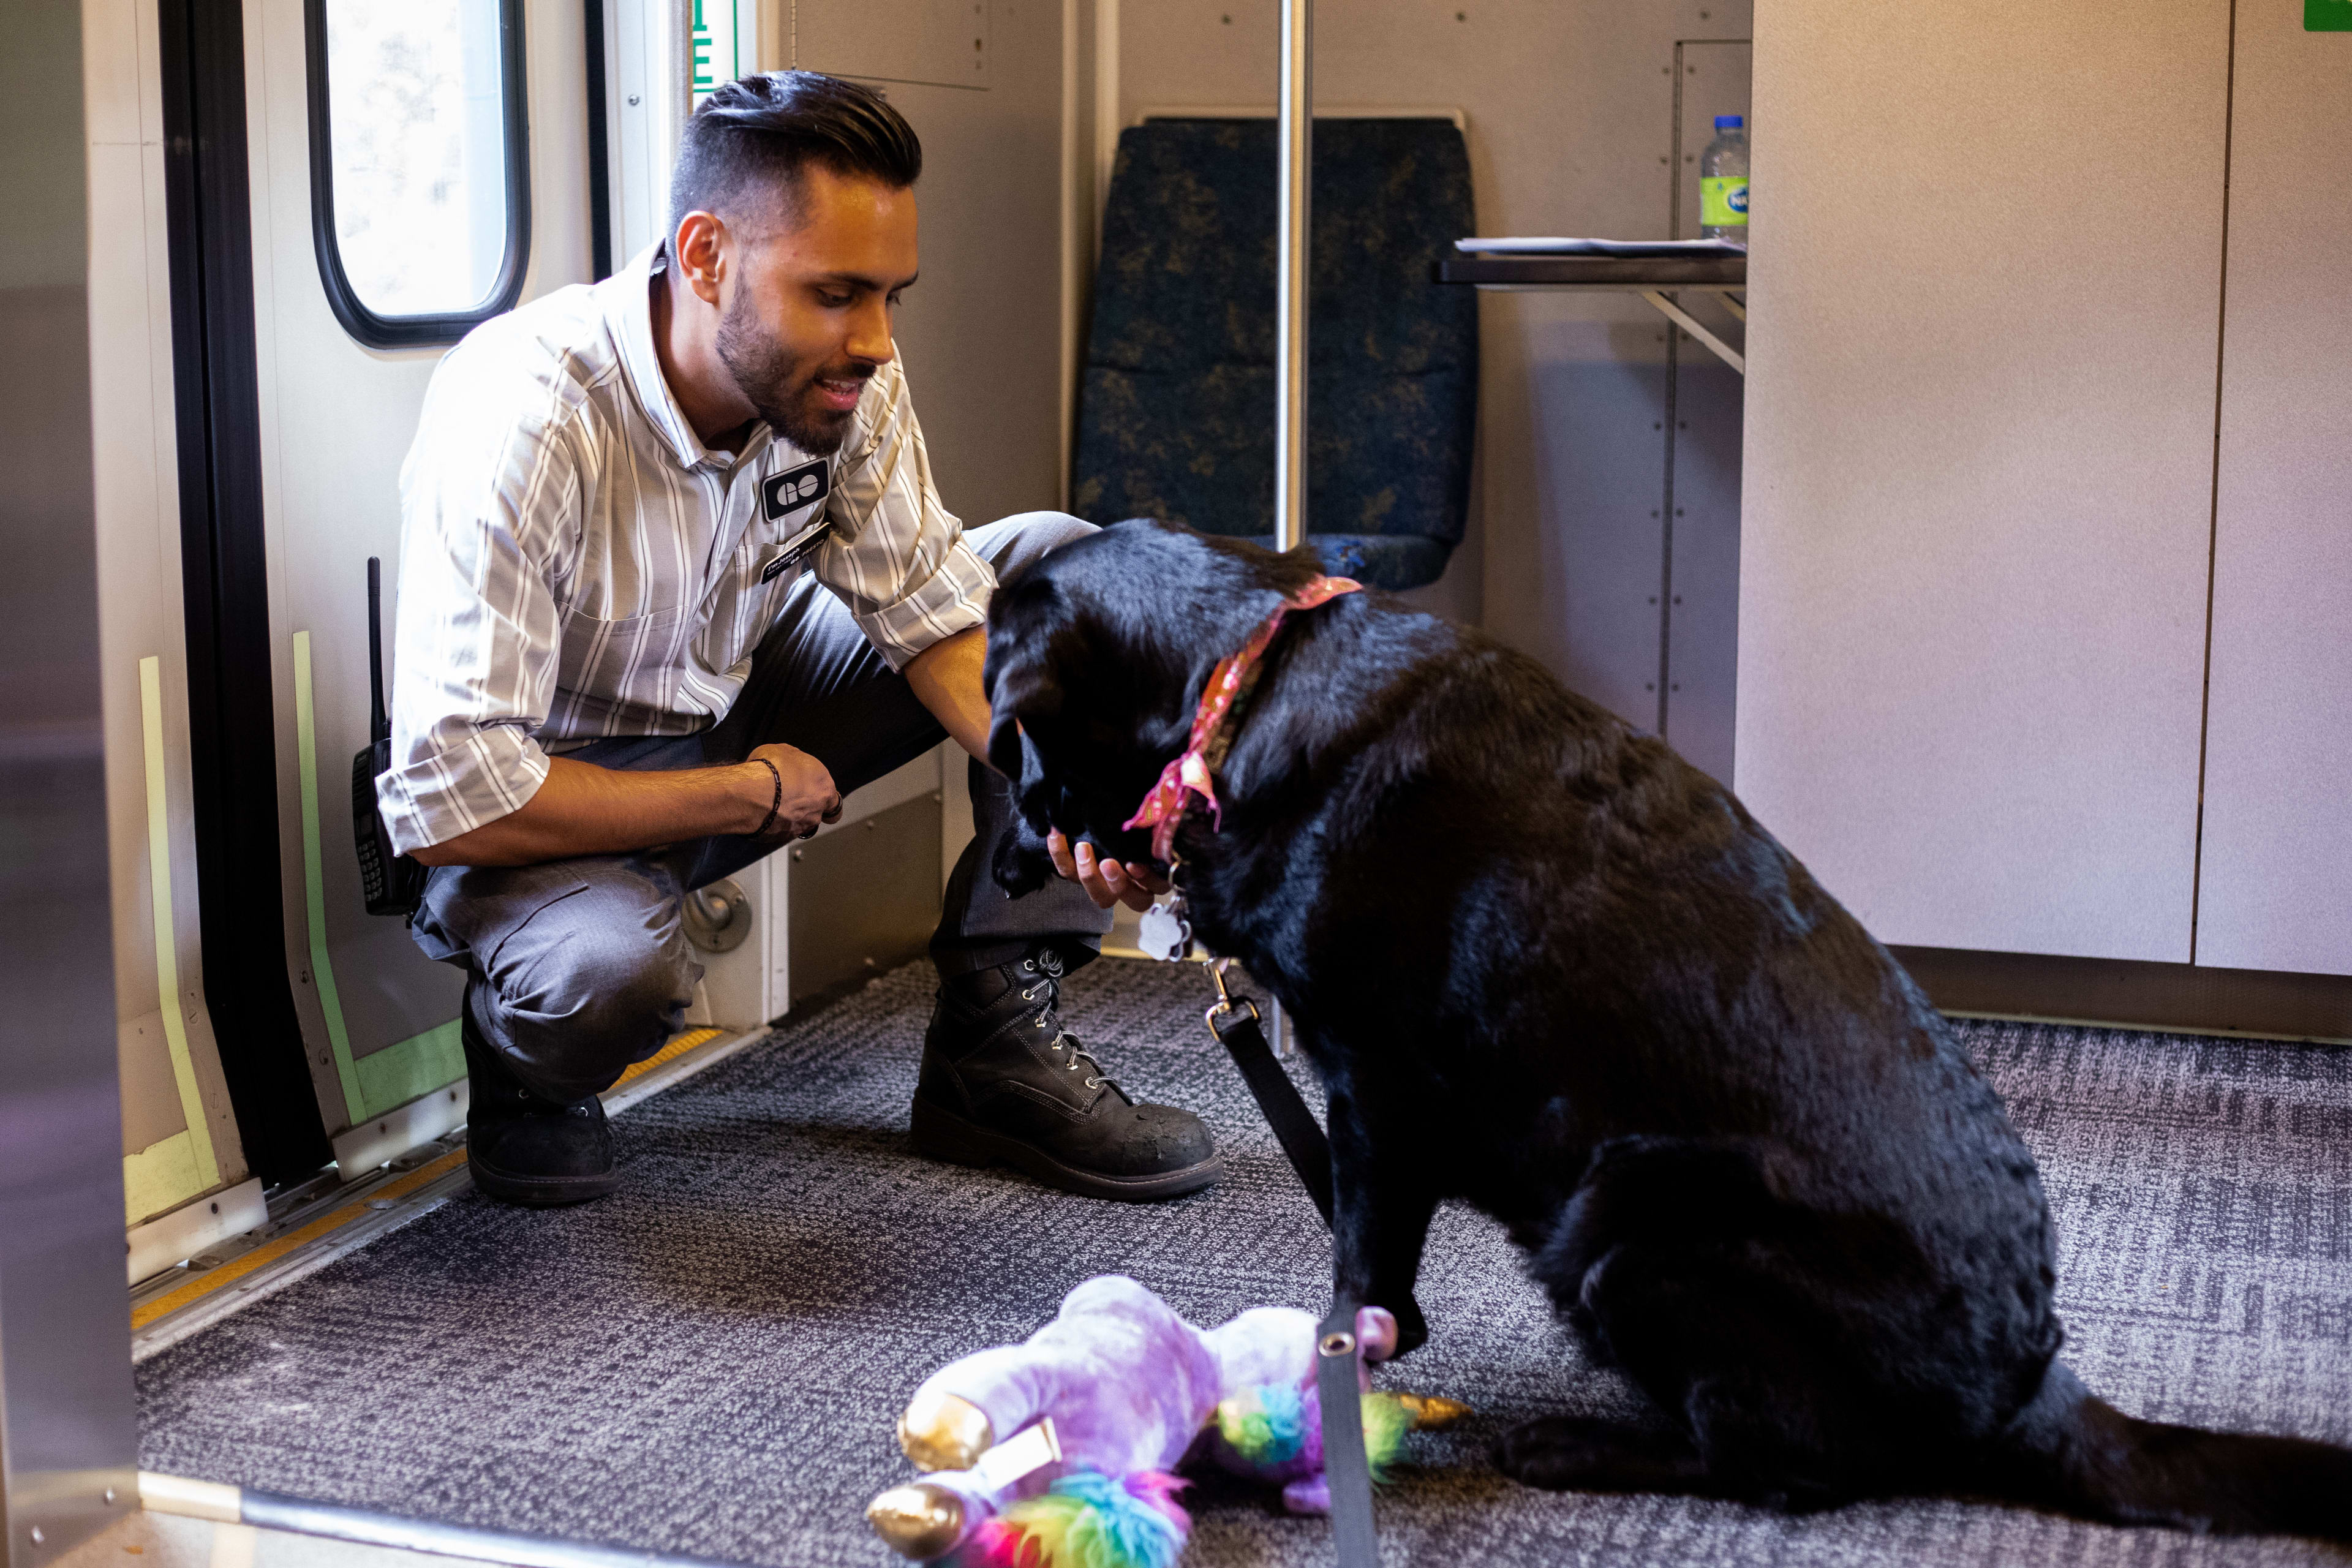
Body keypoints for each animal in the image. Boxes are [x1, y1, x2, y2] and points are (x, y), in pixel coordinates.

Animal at [983, 522, 2352, 1542]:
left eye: (1014, 742)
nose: (1006, 863)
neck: (1243, 678)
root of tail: (2033, 1378)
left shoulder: (1374, 1087)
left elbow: (1361, 1274)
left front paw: (1321, 1379)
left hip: (1634, 1221)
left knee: (1791, 1463)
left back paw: (1575, 1442)